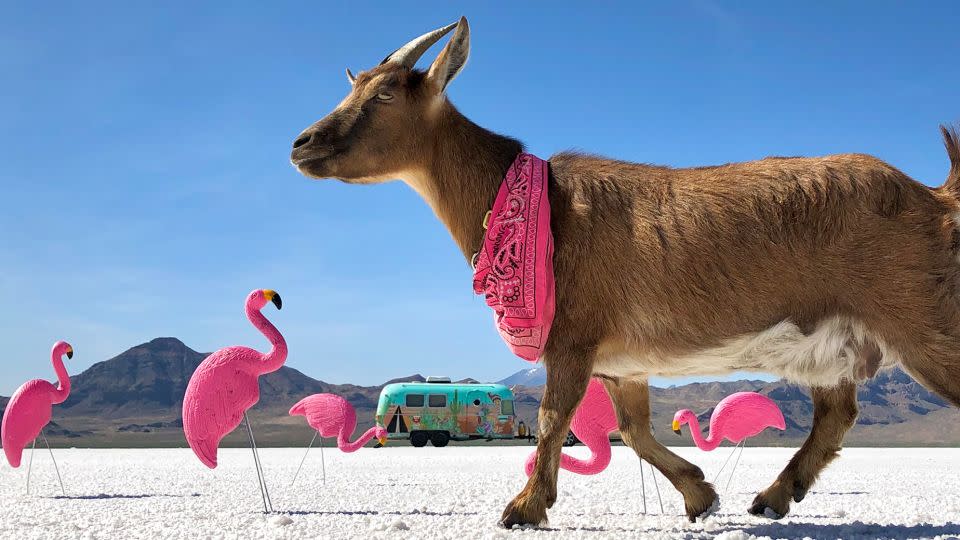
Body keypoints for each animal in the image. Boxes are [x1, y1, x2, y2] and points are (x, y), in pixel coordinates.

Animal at [288, 16, 960, 528]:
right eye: (353, 86)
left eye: (384, 95)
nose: (302, 143)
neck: (534, 203)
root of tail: (935, 196)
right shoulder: (621, 361)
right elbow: (633, 431)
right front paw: (700, 496)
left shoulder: (573, 334)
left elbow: (553, 419)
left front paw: (523, 508)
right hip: (835, 344)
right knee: (836, 414)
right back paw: (772, 497)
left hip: (922, 321)